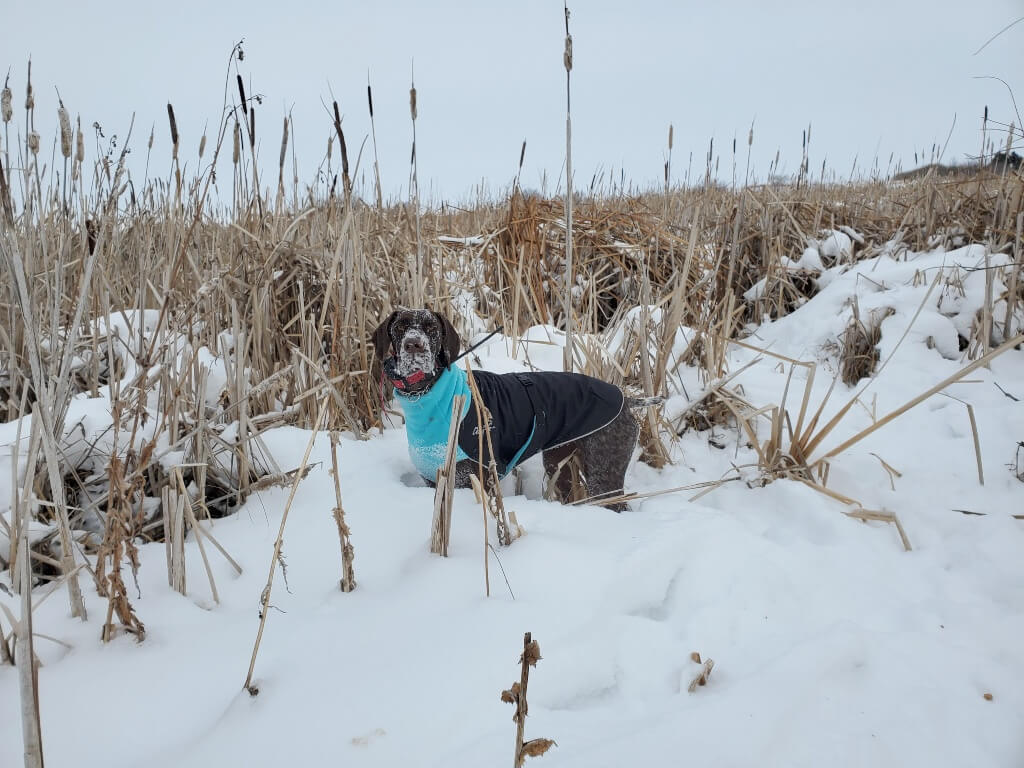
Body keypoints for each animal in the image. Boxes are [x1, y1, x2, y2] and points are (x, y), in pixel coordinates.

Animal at [372, 307, 659, 512]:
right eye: (400, 326)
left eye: (431, 328)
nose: (414, 345)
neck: (428, 395)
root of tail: (626, 399)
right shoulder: (434, 479)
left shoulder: (473, 478)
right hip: (559, 465)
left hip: (603, 472)